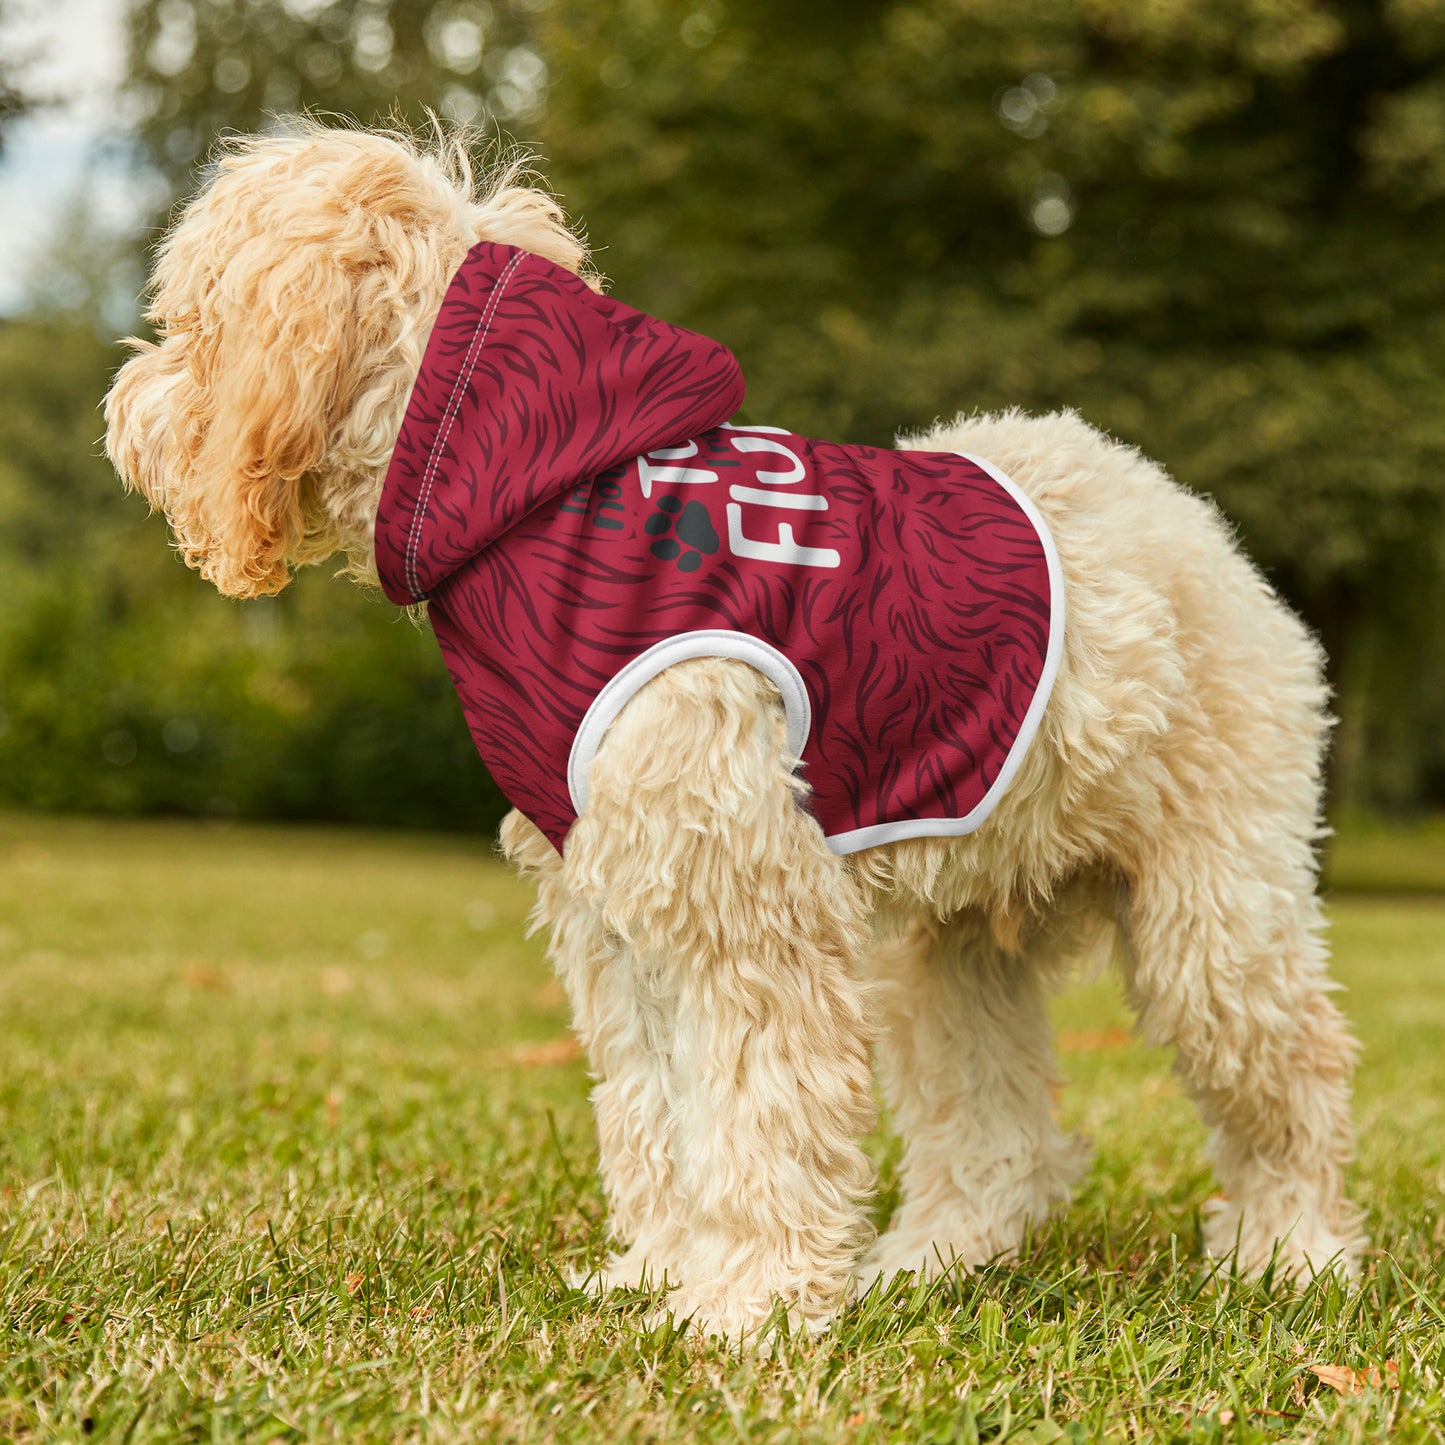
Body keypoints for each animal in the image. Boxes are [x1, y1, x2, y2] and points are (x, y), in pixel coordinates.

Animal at [104, 124, 1364, 1340]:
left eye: (190, 319)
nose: (123, 408)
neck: (536, 496)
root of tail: (1187, 519)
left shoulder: (743, 904)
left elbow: (758, 1113)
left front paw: (746, 1305)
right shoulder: (618, 912)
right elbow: (656, 1111)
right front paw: (662, 1273)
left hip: (1212, 915)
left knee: (1293, 1076)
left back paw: (1290, 1252)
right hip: (950, 947)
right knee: (996, 1133)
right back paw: (929, 1260)